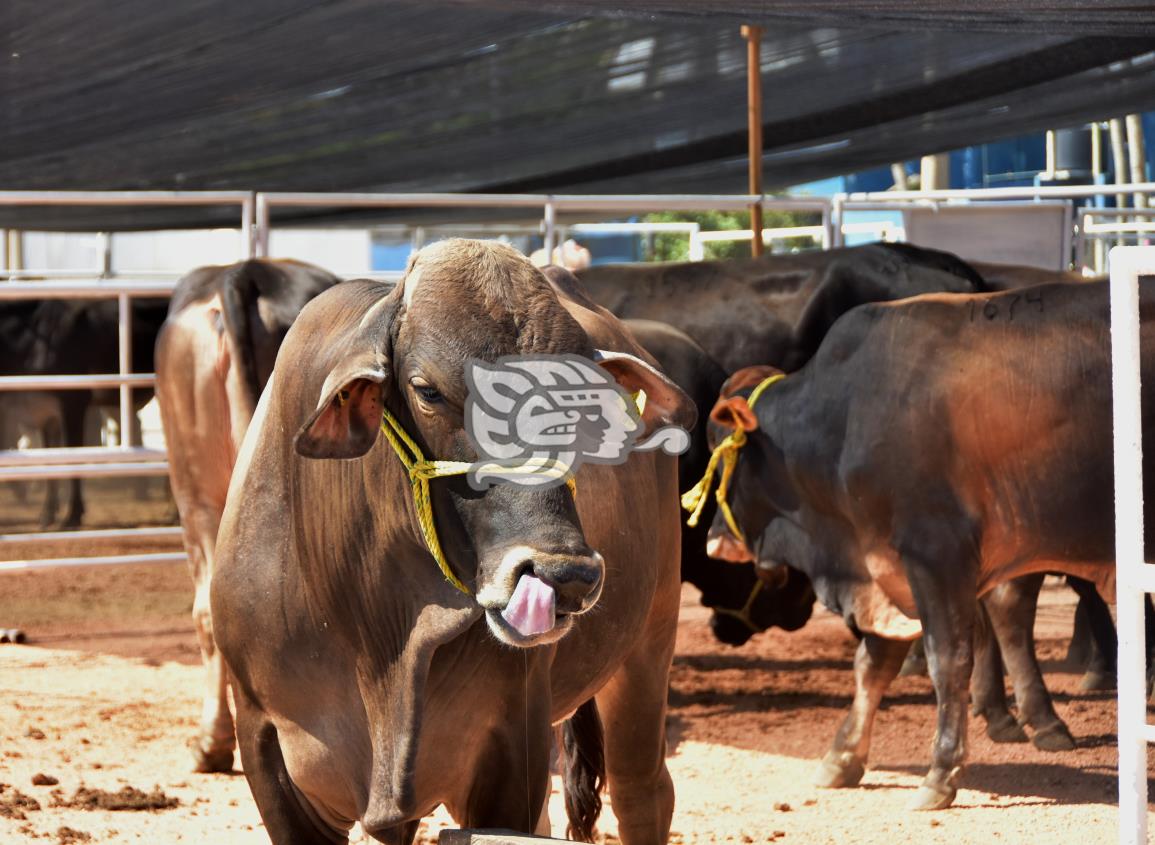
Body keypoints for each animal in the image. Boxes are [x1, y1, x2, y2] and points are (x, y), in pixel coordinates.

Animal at [210, 238, 693, 845]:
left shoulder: (512, 742)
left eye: (585, 403)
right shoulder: (265, 743)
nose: (563, 574)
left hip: (651, 637)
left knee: (642, 791)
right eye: (427, 391)